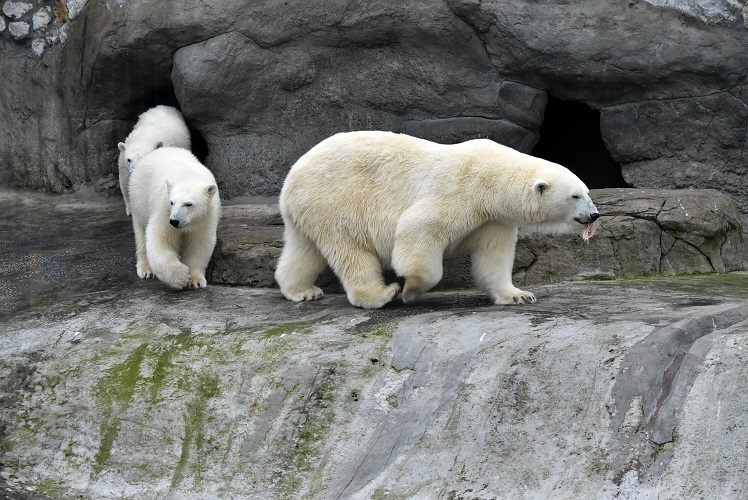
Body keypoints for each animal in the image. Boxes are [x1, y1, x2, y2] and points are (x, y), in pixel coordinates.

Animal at [128, 146, 219, 292]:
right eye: (172, 202)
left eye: (188, 204)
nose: (175, 221)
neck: (189, 175)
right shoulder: (164, 210)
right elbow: (161, 239)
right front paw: (181, 277)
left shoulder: (206, 217)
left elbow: (199, 243)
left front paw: (196, 281)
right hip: (139, 198)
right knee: (141, 232)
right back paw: (146, 269)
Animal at [278, 129, 600, 308]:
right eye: (575, 196)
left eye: (587, 191)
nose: (594, 214)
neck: (493, 179)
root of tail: (292, 177)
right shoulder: (460, 189)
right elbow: (418, 228)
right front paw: (410, 290)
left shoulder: (494, 219)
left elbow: (494, 257)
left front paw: (519, 295)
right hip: (337, 200)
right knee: (350, 250)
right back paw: (381, 294)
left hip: (309, 209)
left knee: (304, 249)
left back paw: (302, 291)